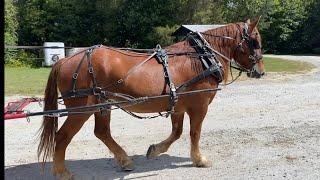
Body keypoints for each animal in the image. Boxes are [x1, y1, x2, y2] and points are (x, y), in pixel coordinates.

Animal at [37, 17, 264, 179]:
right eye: (255, 41)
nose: (260, 71)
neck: (200, 58)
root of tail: (64, 60)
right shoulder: (199, 106)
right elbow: (194, 133)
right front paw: (199, 159)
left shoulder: (178, 105)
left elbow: (176, 132)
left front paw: (155, 150)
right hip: (81, 109)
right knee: (62, 136)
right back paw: (62, 172)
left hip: (102, 104)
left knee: (102, 132)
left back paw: (125, 161)